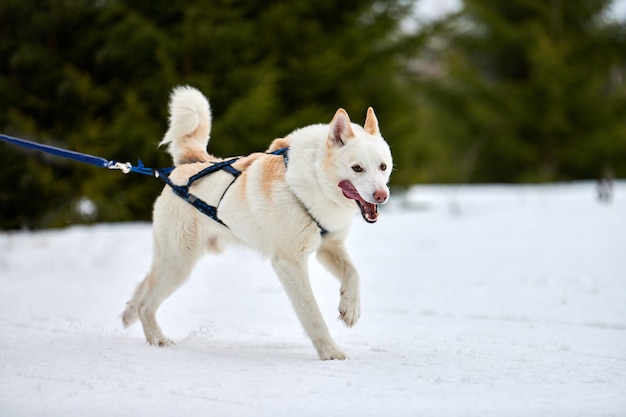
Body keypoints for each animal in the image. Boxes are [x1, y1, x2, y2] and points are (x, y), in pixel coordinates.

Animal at [122, 85, 392, 358]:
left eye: (383, 167)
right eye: (357, 168)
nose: (382, 195)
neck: (314, 180)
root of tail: (194, 163)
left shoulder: (329, 247)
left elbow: (354, 273)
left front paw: (350, 308)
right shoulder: (290, 263)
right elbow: (312, 313)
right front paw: (330, 352)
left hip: (176, 259)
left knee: (145, 284)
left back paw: (128, 314)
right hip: (180, 262)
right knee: (147, 303)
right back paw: (157, 339)